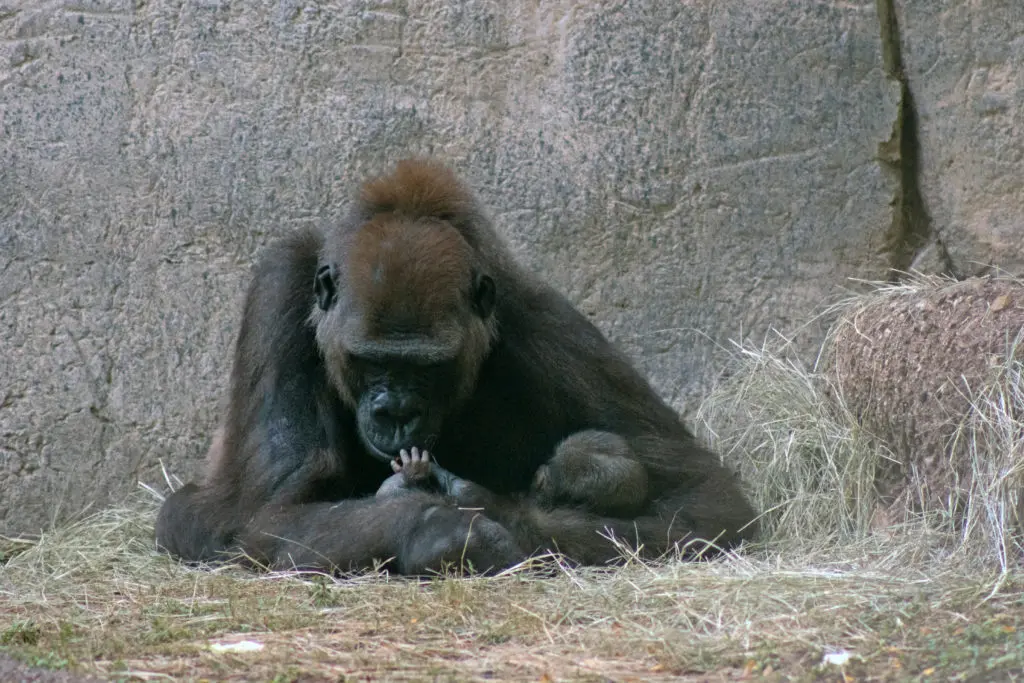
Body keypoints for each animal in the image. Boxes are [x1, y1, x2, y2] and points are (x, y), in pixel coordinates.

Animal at [155, 158, 757, 575]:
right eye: (369, 362)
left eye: (429, 370)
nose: (396, 414)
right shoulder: (281, 285)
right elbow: (271, 515)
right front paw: (435, 527)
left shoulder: (534, 313)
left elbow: (703, 497)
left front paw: (484, 509)